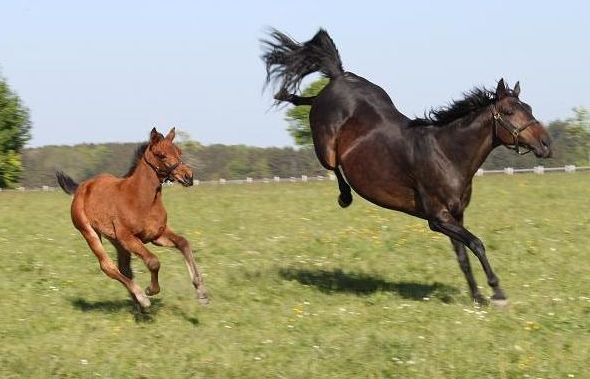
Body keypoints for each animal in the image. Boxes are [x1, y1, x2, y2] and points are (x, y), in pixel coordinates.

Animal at [56, 129, 208, 310]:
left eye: (179, 152)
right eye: (162, 155)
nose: (188, 176)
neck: (143, 200)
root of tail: (81, 187)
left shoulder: (157, 235)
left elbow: (183, 243)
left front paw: (201, 292)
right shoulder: (128, 237)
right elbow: (153, 261)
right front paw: (149, 291)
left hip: (115, 240)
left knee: (124, 267)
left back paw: (137, 303)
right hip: (90, 233)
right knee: (107, 266)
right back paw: (140, 297)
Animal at [262, 28, 552, 304]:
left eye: (528, 108)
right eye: (510, 112)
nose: (546, 144)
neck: (447, 154)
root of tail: (339, 76)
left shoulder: (455, 215)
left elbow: (463, 256)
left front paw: (478, 297)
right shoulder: (437, 218)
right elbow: (477, 243)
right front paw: (497, 292)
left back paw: (286, 94)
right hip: (326, 149)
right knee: (333, 164)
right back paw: (344, 196)